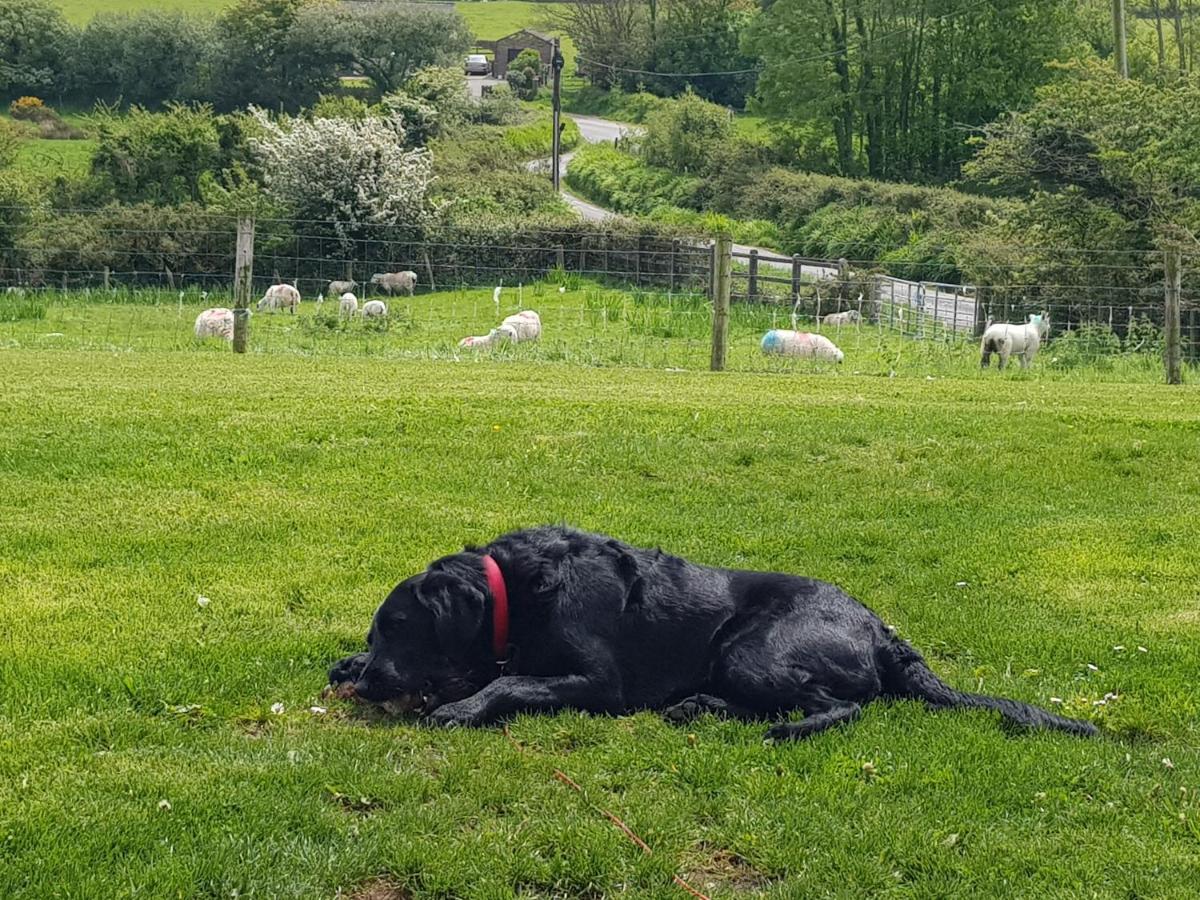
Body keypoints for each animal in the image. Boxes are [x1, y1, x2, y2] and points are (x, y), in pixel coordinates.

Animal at [328, 528, 1099, 739]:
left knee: (839, 707)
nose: (370, 683)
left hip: (750, 648)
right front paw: (346, 663)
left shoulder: (599, 681)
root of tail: (881, 629)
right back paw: (700, 707)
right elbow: (508, 668)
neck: (517, 590)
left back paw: (780, 728)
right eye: (380, 630)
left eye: (400, 626)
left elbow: (513, 680)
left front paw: (461, 706)